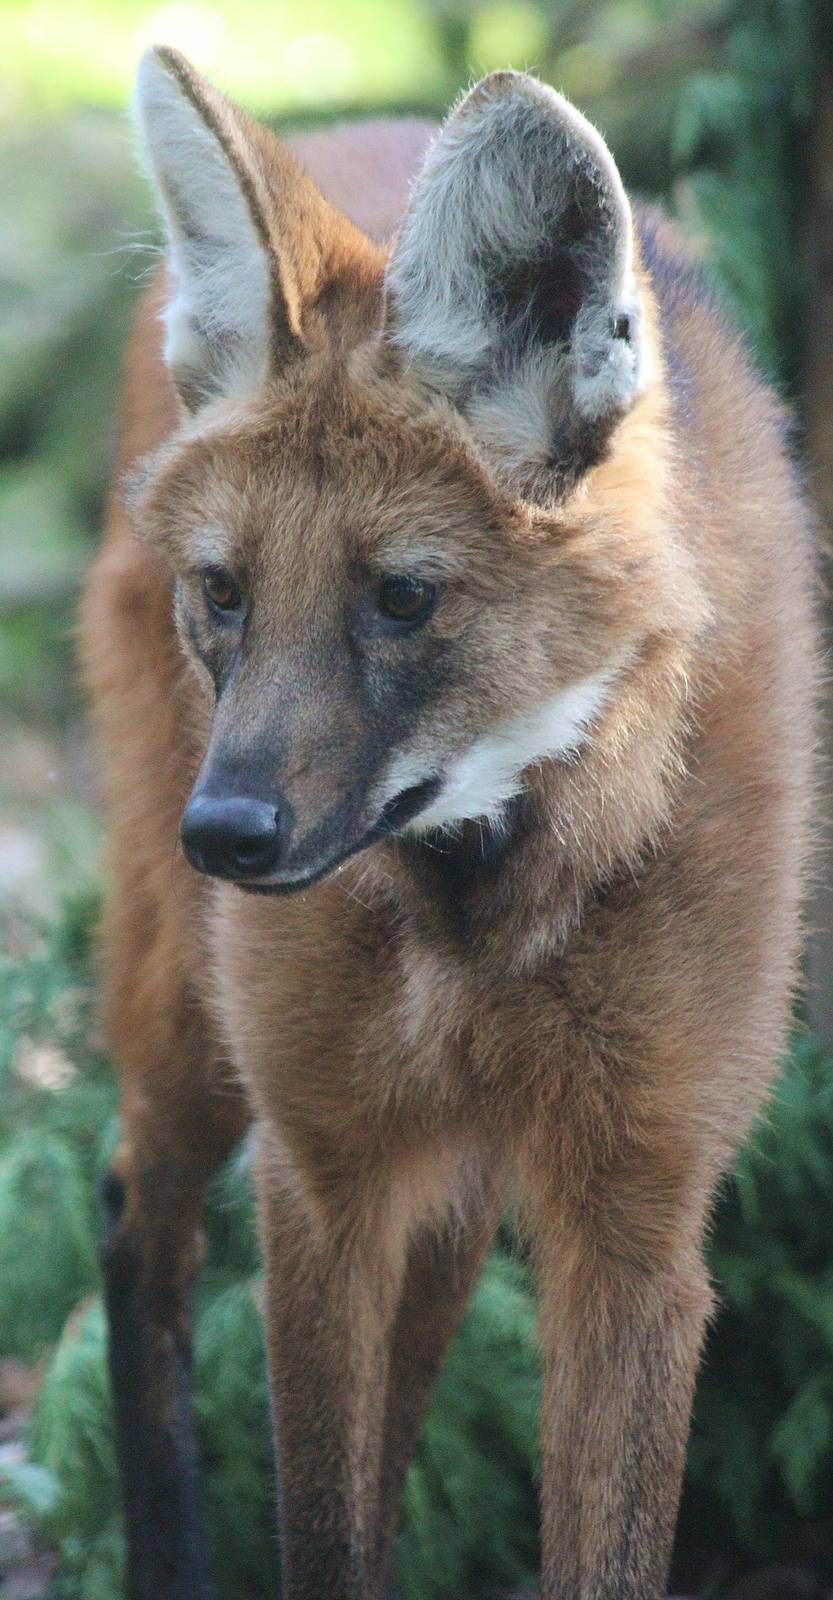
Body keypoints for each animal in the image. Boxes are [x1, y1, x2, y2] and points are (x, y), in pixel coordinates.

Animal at [80, 44, 817, 1600]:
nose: (223, 835)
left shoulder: (636, 1221)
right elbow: (325, 1534)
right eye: (225, 592)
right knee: (132, 1215)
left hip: (452, 1172)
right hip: (203, 1013)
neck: (484, 892)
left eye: (402, 597)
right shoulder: (321, 1172)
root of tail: (370, 121)